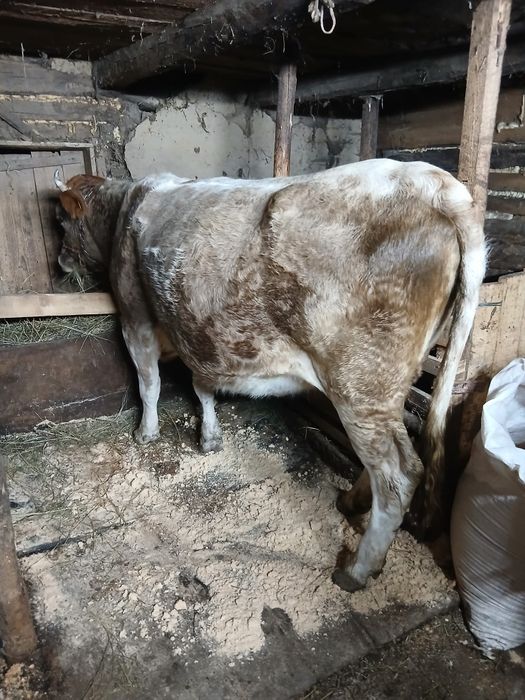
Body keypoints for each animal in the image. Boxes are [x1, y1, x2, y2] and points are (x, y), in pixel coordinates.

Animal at [53, 159, 485, 593]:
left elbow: (149, 384)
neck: (125, 208)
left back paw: (357, 569)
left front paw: (146, 432)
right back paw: (350, 503)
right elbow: (202, 386)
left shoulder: (135, 315)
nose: (60, 261)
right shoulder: (197, 330)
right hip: (389, 385)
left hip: (361, 383)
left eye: (61, 221)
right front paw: (209, 436)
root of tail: (432, 181)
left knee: (398, 474)